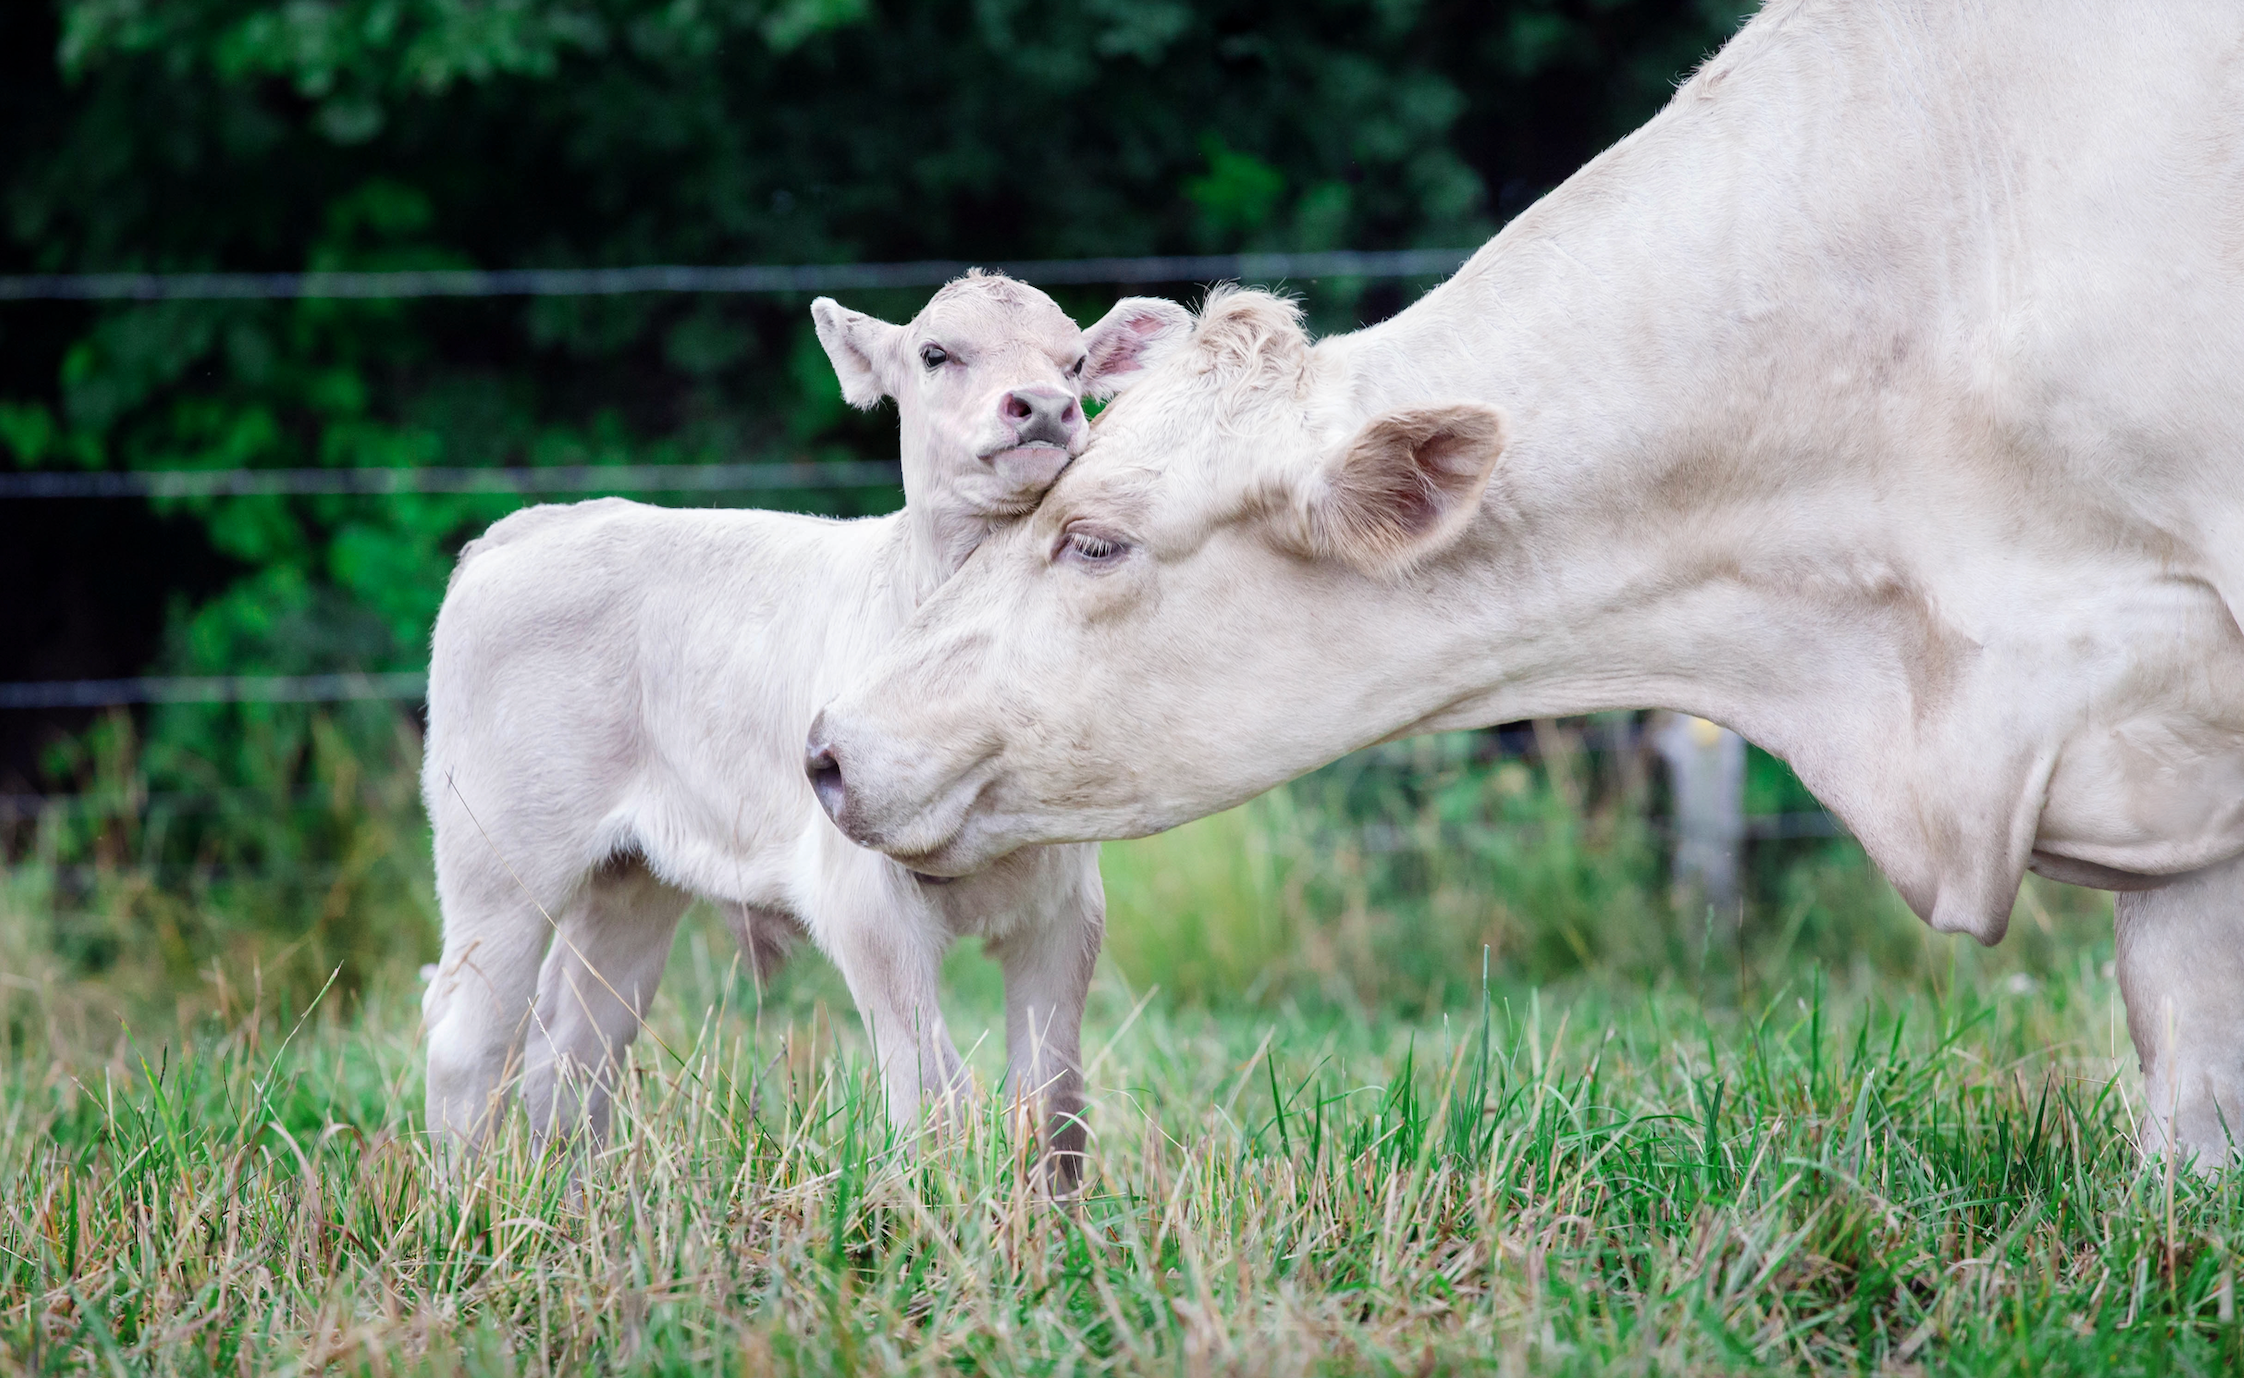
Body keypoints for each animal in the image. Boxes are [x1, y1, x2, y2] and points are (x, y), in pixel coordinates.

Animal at [426, 272, 1184, 1184]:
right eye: (936, 353)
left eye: (1073, 363)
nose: (1042, 406)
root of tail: (535, 524)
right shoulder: (862, 894)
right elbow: (933, 1096)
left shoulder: (1065, 902)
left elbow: (1056, 1104)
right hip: (496, 854)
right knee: (468, 1037)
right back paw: (460, 1200)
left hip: (631, 879)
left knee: (573, 1043)